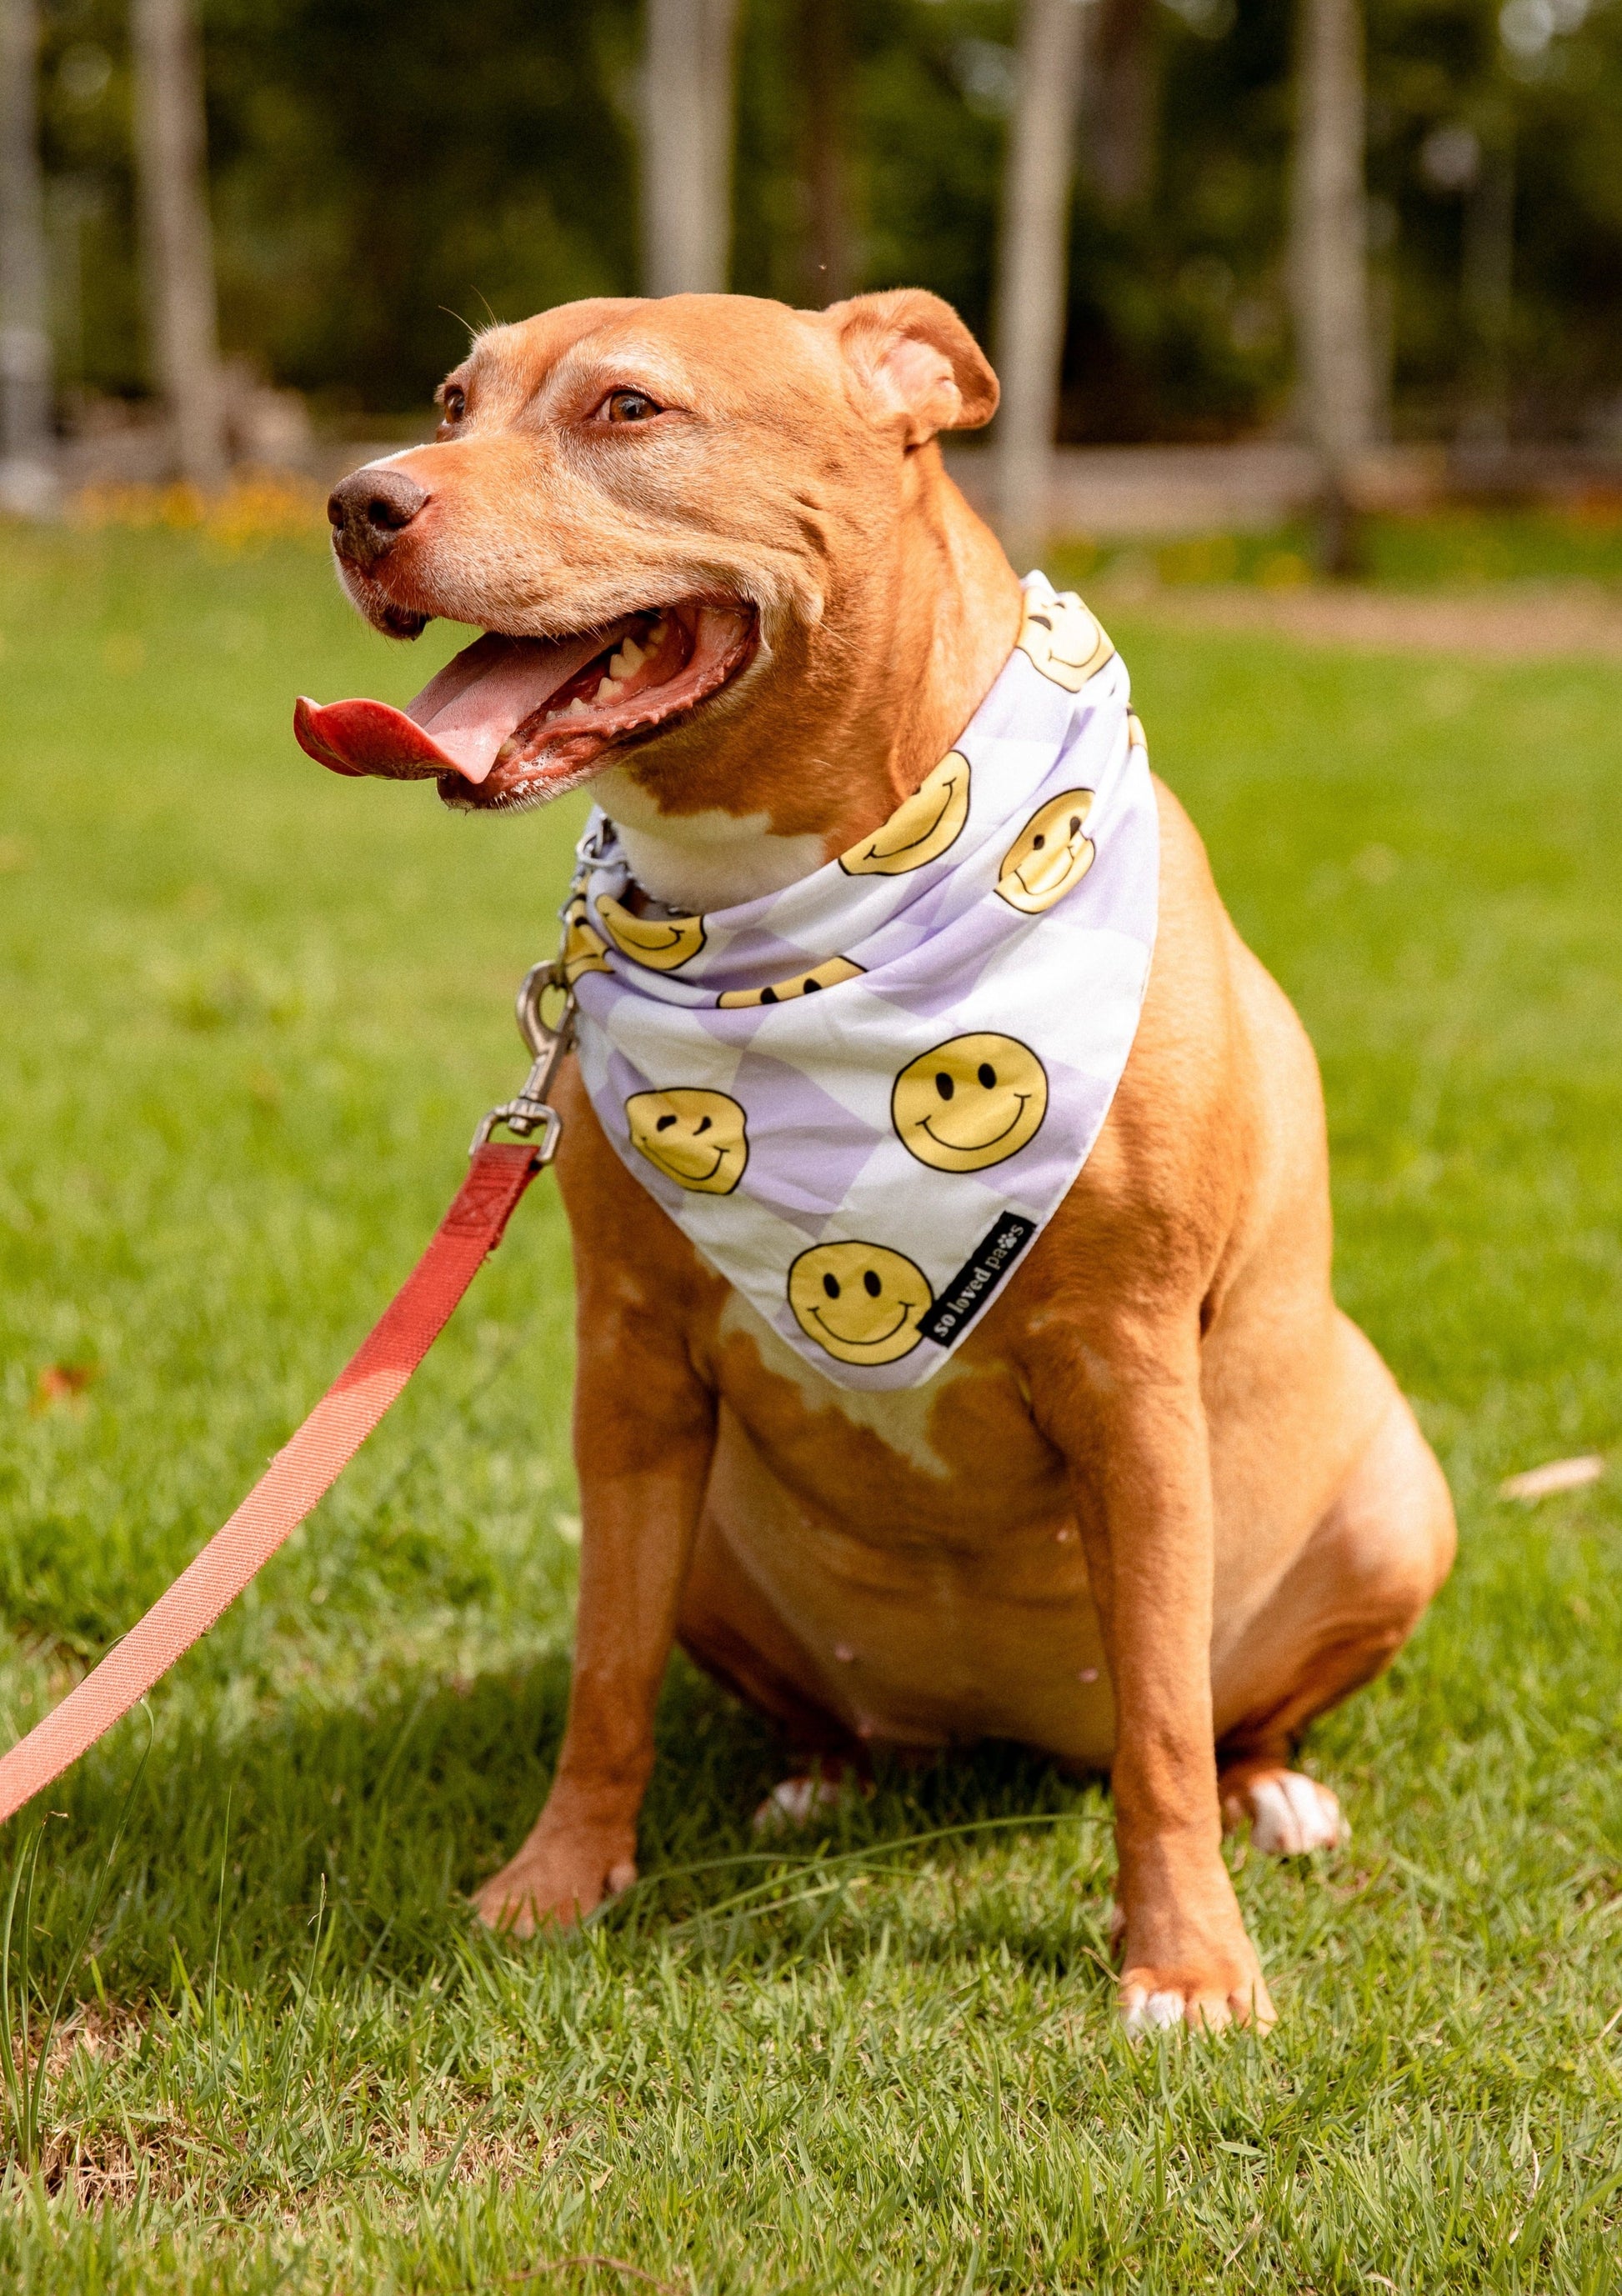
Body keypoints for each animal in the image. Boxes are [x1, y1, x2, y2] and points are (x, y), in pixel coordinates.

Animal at [303, 291, 1452, 2029]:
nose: (360, 502)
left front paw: (1185, 1959)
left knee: (1216, 1713)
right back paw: (816, 1776)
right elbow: (606, 1667)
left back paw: (1275, 1792)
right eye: (452, 399)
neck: (793, 914)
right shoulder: (628, 1367)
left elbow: (1162, 1724)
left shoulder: (1131, 1374)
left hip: (1396, 1504)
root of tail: (992, 1739)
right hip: (714, 1532)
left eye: (627, 408)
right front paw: (559, 1882)